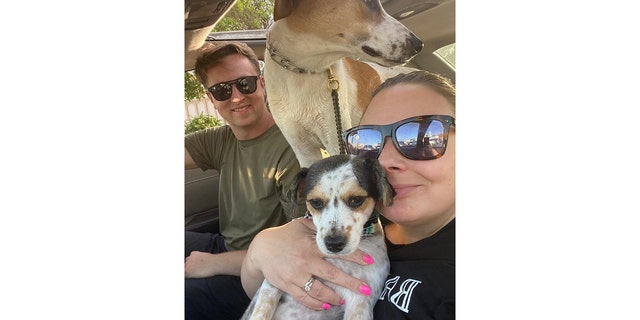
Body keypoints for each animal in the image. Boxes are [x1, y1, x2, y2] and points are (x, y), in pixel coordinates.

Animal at [242, 154, 396, 318]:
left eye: (356, 199)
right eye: (315, 202)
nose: (334, 244)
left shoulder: (360, 301)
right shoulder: (275, 280)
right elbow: (261, 313)